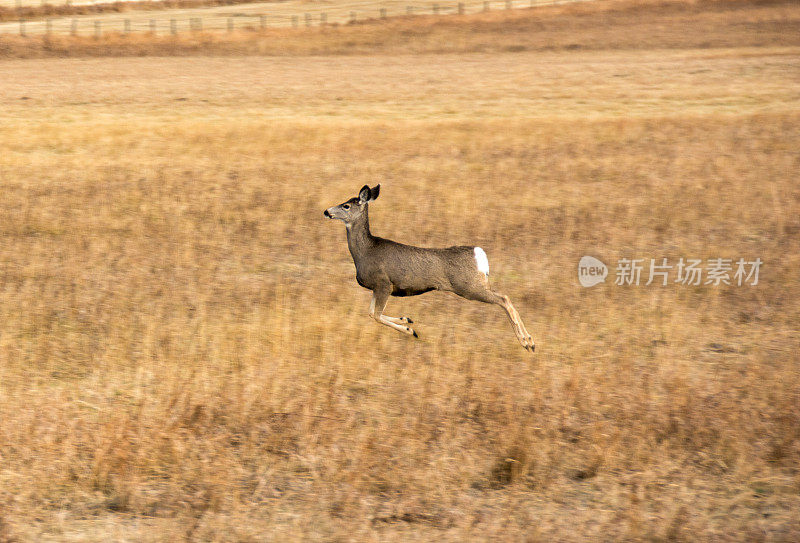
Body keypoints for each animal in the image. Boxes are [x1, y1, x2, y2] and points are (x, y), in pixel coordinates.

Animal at [324, 185, 536, 352]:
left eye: (346, 205)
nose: (326, 211)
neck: (365, 252)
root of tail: (479, 254)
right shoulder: (377, 288)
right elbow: (371, 313)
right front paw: (407, 320)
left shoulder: (384, 283)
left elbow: (375, 315)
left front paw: (411, 331)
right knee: (505, 297)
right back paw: (529, 341)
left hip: (468, 286)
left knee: (504, 299)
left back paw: (527, 342)